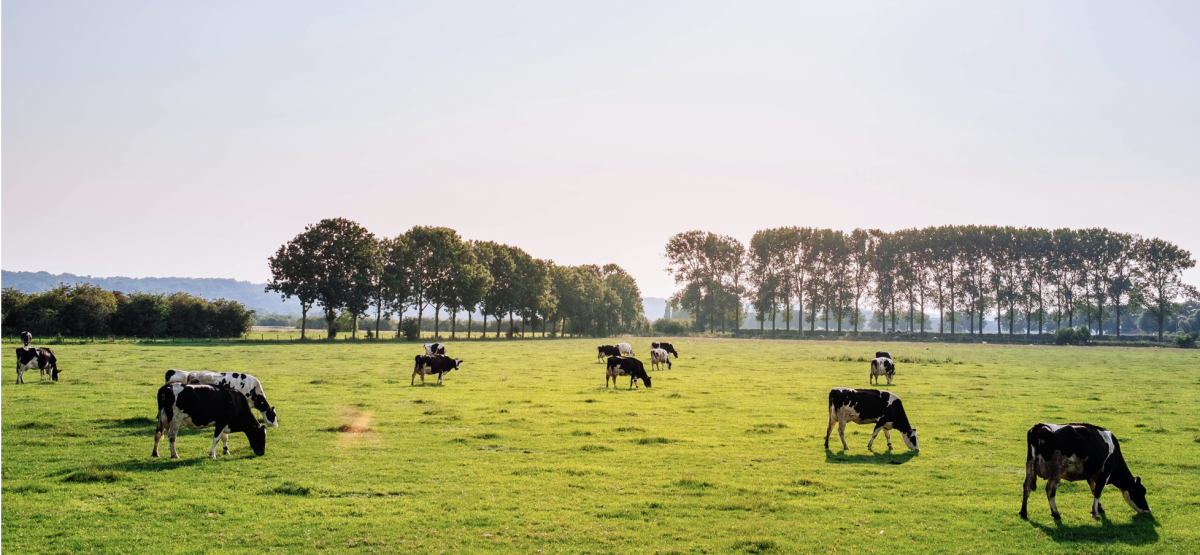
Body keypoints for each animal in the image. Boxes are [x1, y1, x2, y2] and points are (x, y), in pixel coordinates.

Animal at [1017, 425, 1147, 521]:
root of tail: (1039, 426)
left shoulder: (1091, 474)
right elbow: (1098, 492)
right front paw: (1095, 513)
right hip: (1056, 470)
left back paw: (1023, 513)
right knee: (1050, 490)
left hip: (1029, 467)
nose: (1148, 510)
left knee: (1026, 487)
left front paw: (1098, 509)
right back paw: (1056, 514)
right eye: (1141, 492)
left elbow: (1093, 490)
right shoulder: (1105, 473)